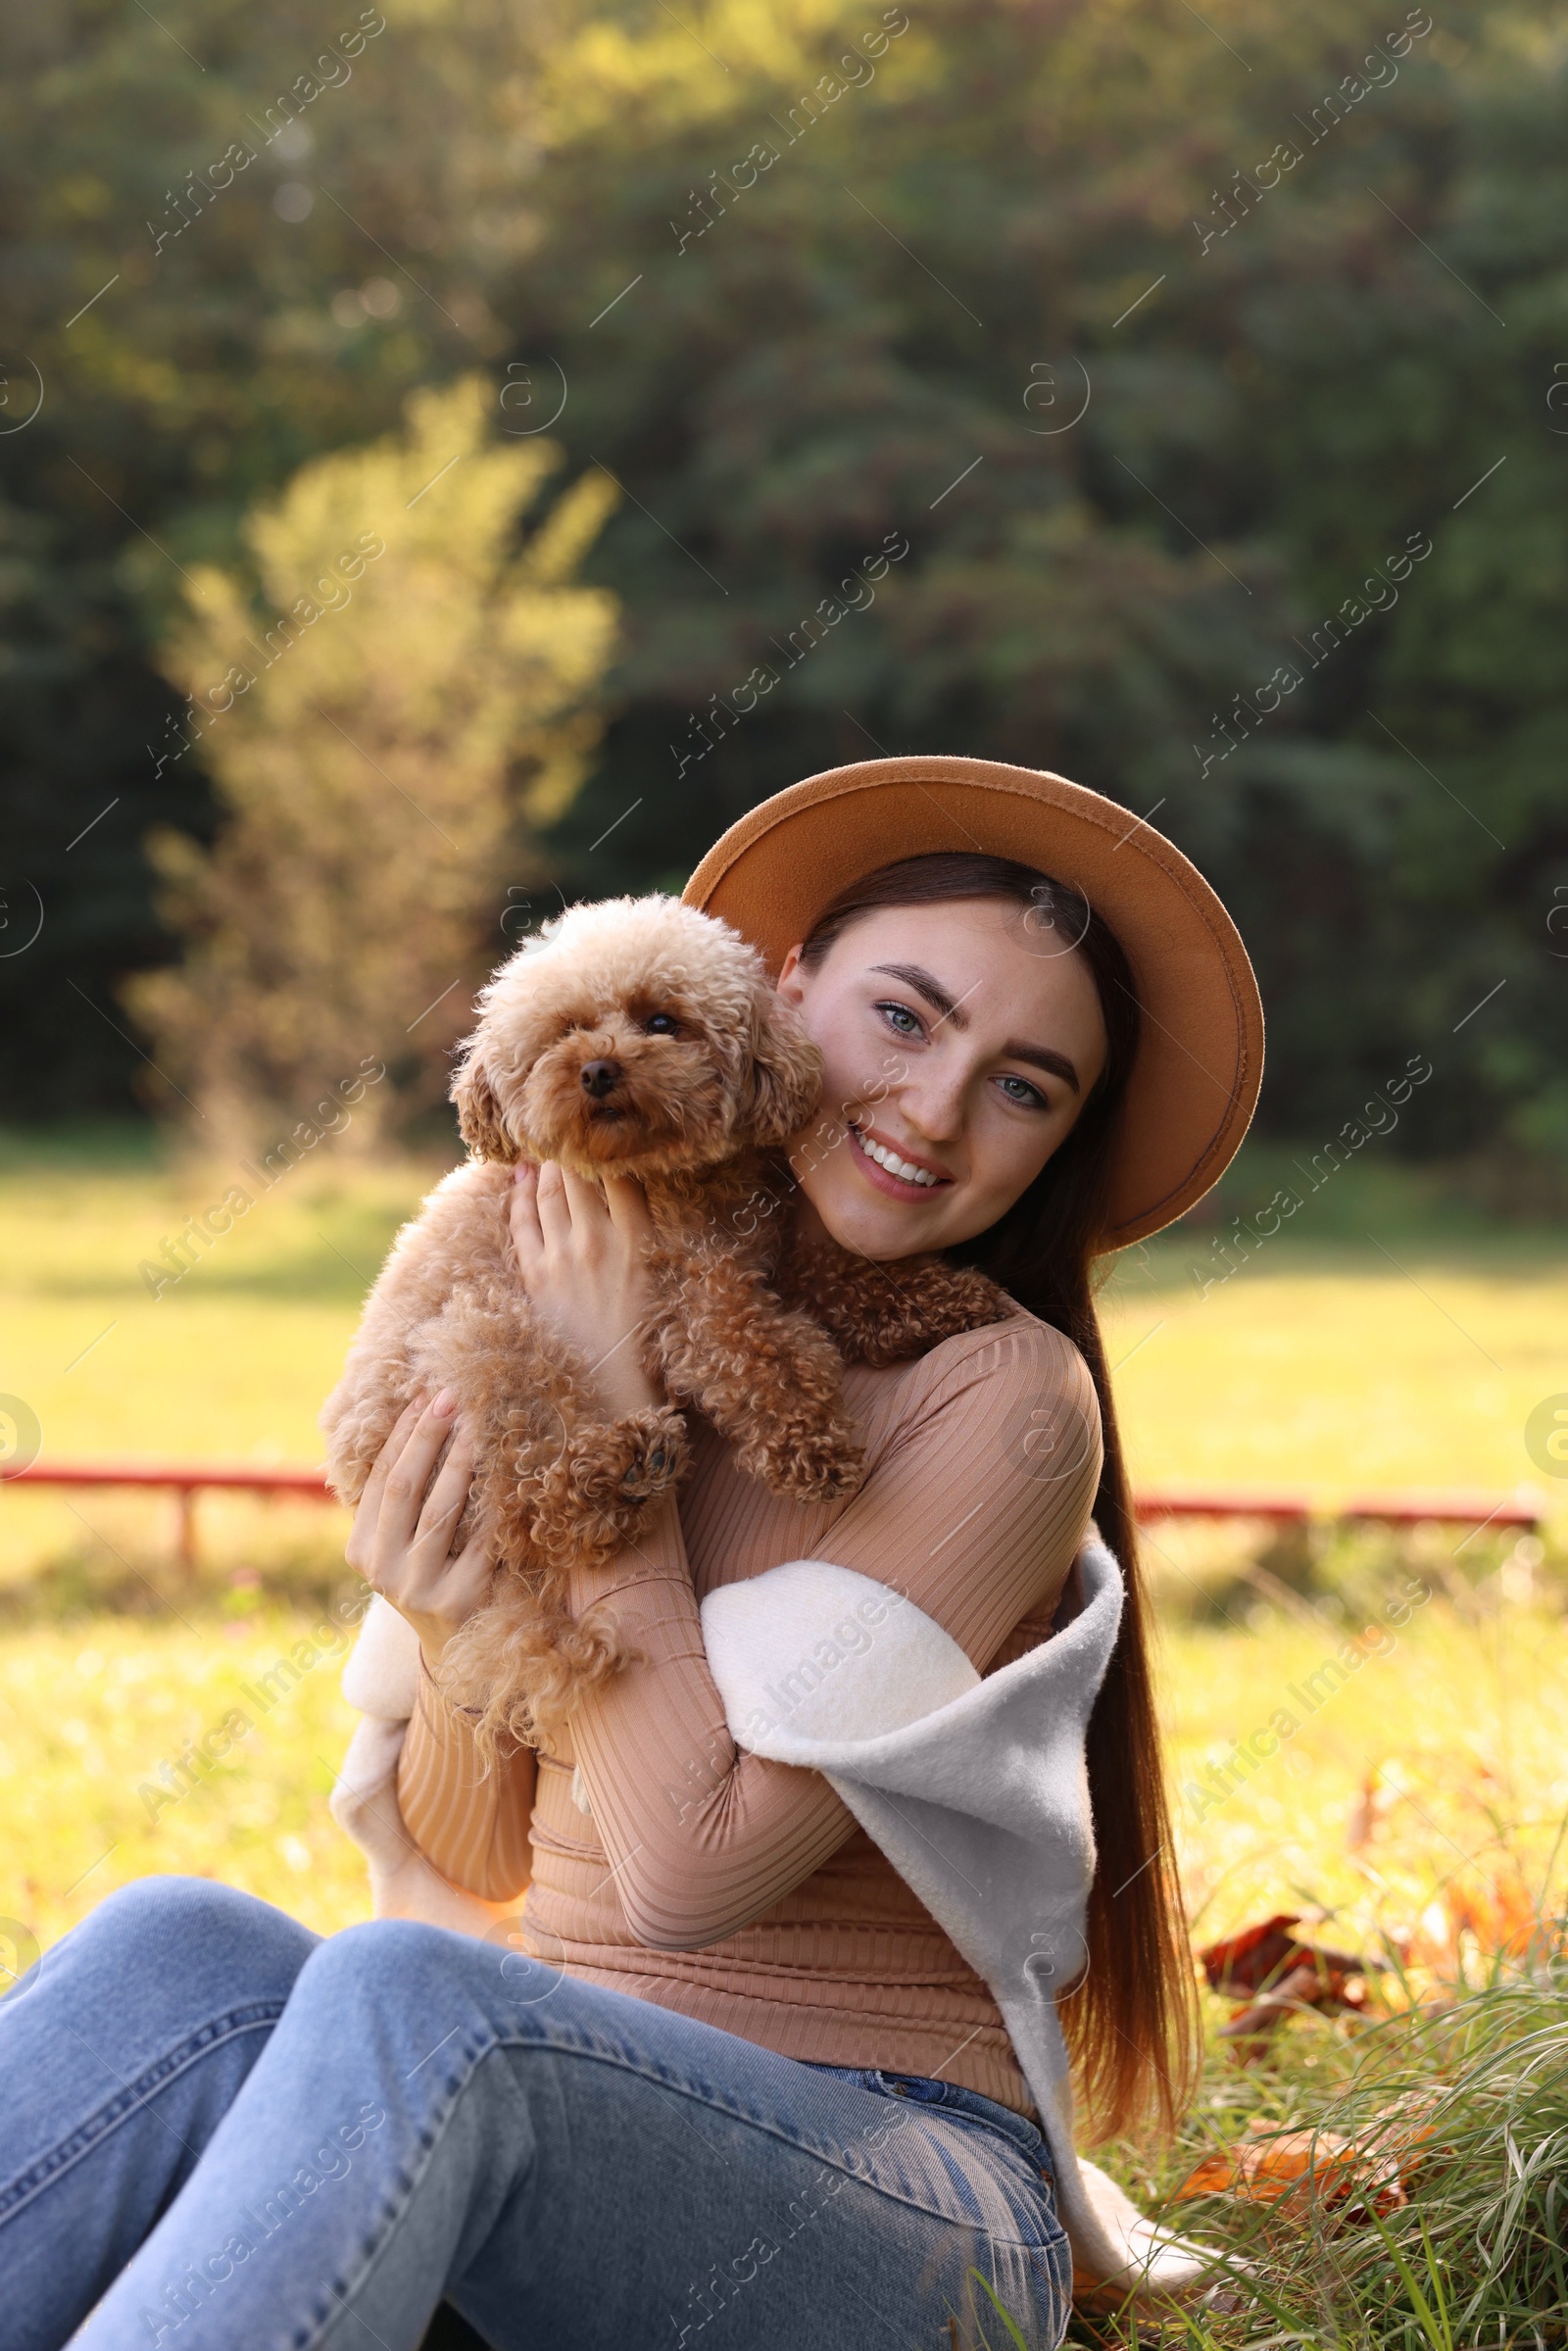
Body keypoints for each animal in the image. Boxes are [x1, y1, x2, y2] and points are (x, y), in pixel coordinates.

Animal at [321, 898, 1005, 1748]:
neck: (667, 1177)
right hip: (480, 1343)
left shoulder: (763, 1255)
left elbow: (839, 1276)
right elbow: (752, 1349)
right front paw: (813, 1446)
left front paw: (948, 1300)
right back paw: (614, 1475)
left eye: (661, 1019)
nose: (597, 1069)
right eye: (564, 1031)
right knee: (531, 1502)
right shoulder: (685, 1294)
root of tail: (351, 1473)